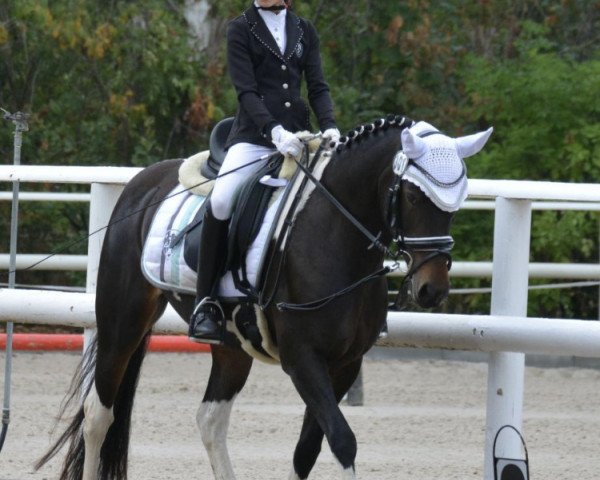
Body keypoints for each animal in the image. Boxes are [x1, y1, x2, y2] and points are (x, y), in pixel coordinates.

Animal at [36, 114, 492, 478]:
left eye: (456, 201)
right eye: (413, 196)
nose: (432, 290)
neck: (336, 235)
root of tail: (142, 183)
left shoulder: (345, 364)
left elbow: (309, 448)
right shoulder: (302, 358)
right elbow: (343, 440)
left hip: (231, 345)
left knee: (210, 419)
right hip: (122, 320)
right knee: (99, 415)